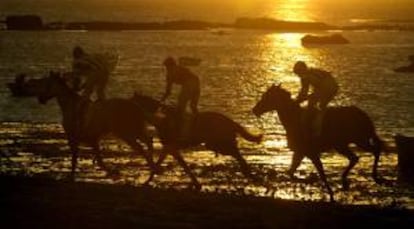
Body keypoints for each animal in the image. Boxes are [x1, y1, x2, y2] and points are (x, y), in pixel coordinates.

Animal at [19, 71, 158, 181]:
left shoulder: (74, 138)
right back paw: (153, 168)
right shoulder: (93, 140)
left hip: (127, 134)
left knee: (143, 148)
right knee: (148, 142)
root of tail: (137, 107)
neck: (72, 107)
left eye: (47, 84)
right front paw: (112, 172)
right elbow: (98, 160)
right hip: (134, 131)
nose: (41, 99)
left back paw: (151, 171)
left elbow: (76, 159)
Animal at [130, 92, 262, 189]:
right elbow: (180, 165)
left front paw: (147, 181)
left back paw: (249, 173)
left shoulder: (171, 147)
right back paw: (248, 173)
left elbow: (169, 164)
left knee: (237, 153)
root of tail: (230, 121)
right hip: (213, 144)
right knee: (236, 153)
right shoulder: (170, 149)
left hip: (219, 144)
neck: (161, 120)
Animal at [252, 83, 384, 200]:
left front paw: (329, 192)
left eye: (267, 96)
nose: (255, 110)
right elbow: (292, 171)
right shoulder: (300, 152)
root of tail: (363, 115)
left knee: (372, 151)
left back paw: (372, 177)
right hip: (345, 144)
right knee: (358, 157)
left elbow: (319, 173)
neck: (294, 119)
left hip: (357, 140)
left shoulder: (309, 152)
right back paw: (347, 181)